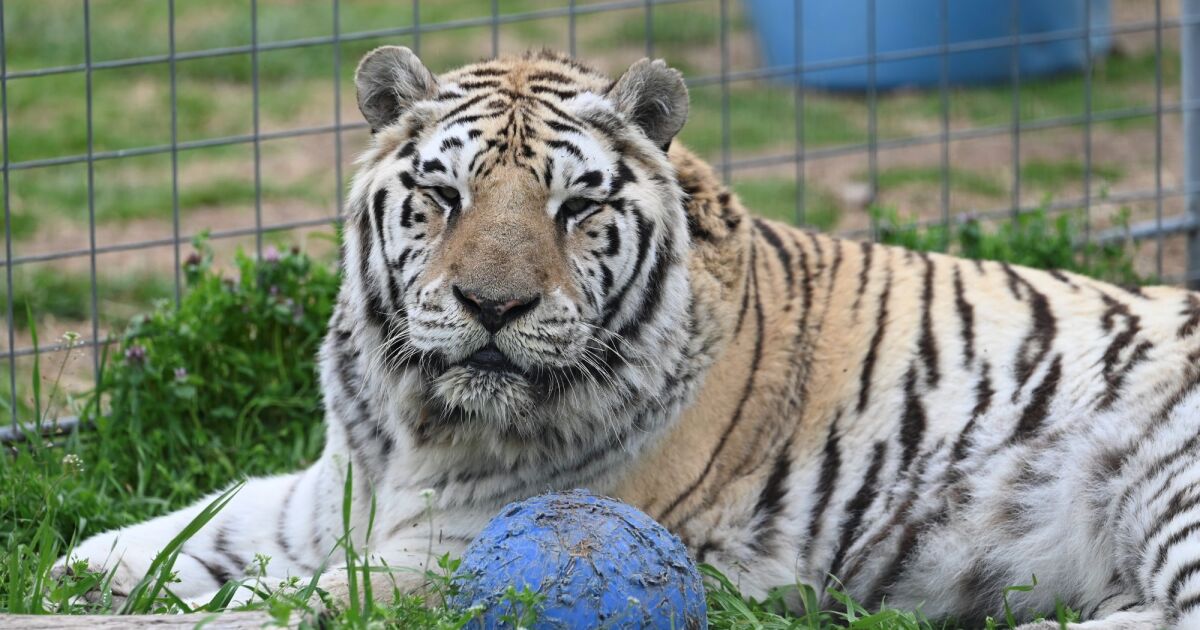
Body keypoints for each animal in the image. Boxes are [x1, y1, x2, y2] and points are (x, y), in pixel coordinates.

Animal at [55, 47, 1200, 628]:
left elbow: (277, 599)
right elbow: (192, 528)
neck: (412, 422)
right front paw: (78, 570)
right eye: (442, 195)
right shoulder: (329, 490)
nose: (494, 307)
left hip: (1165, 488)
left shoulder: (452, 548)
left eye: (575, 209)